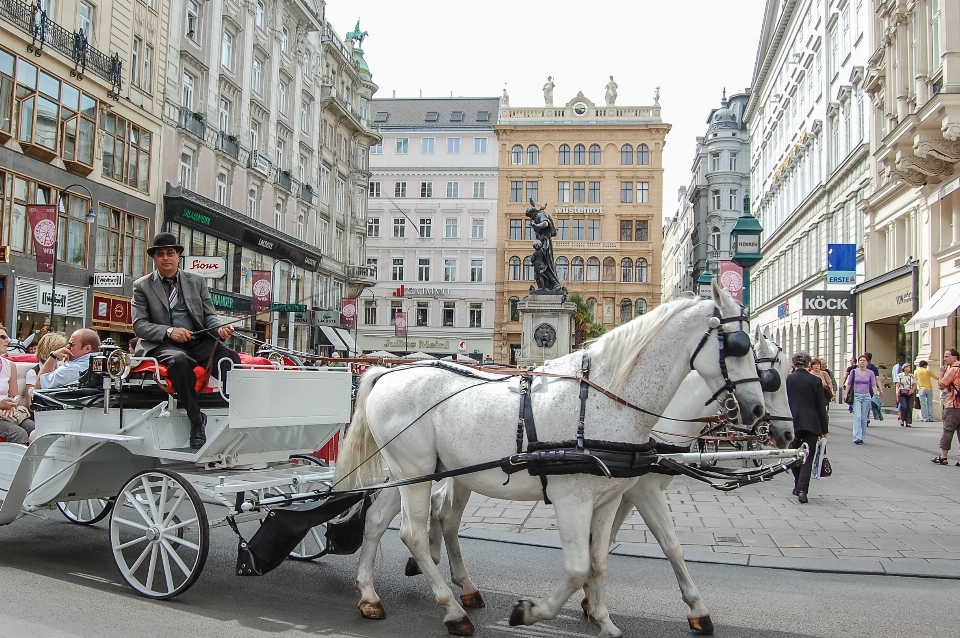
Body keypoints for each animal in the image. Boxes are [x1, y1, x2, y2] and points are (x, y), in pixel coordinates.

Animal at [334, 286, 760, 638]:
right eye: (738, 345)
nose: (755, 411)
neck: (606, 398)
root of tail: (389, 372)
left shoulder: (608, 499)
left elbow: (599, 560)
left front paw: (603, 620)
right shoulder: (575, 500)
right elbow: (577, 567)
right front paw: (531, 612)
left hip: (408, 474)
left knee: (378, 521)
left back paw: (370, 595)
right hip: (417, 473)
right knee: (414, 533)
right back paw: (453, 611)